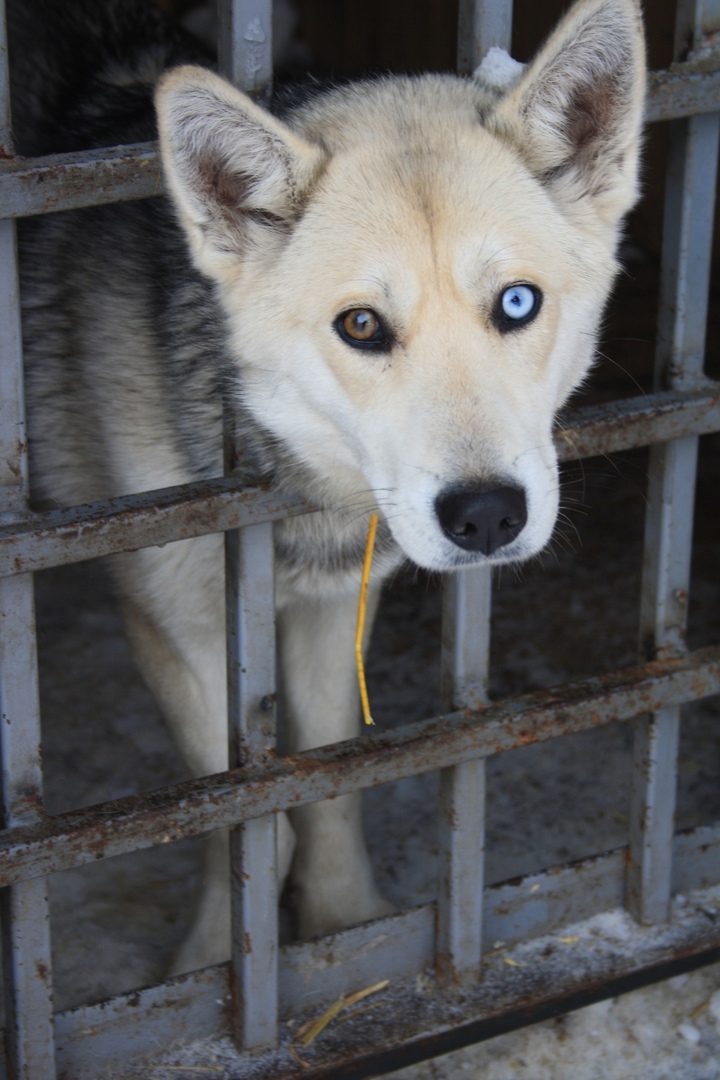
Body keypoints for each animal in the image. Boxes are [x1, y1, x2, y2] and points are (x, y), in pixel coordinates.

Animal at [7, 0, 647, 976]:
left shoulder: (333, 610)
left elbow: (334, 785)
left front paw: (349, 931)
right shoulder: (177, 629)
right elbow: (243, 818)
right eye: (362, 326)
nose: (486, 514)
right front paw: (215, 968)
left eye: (517, 304)